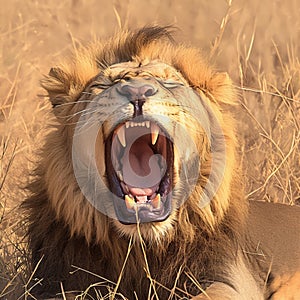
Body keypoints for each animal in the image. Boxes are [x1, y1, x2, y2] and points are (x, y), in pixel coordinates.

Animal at [23, 26, 300, 300]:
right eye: (105, 84)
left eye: (170, 83)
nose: (137, 91)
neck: (141, 249)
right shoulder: (53, 281)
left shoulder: (230, 281)